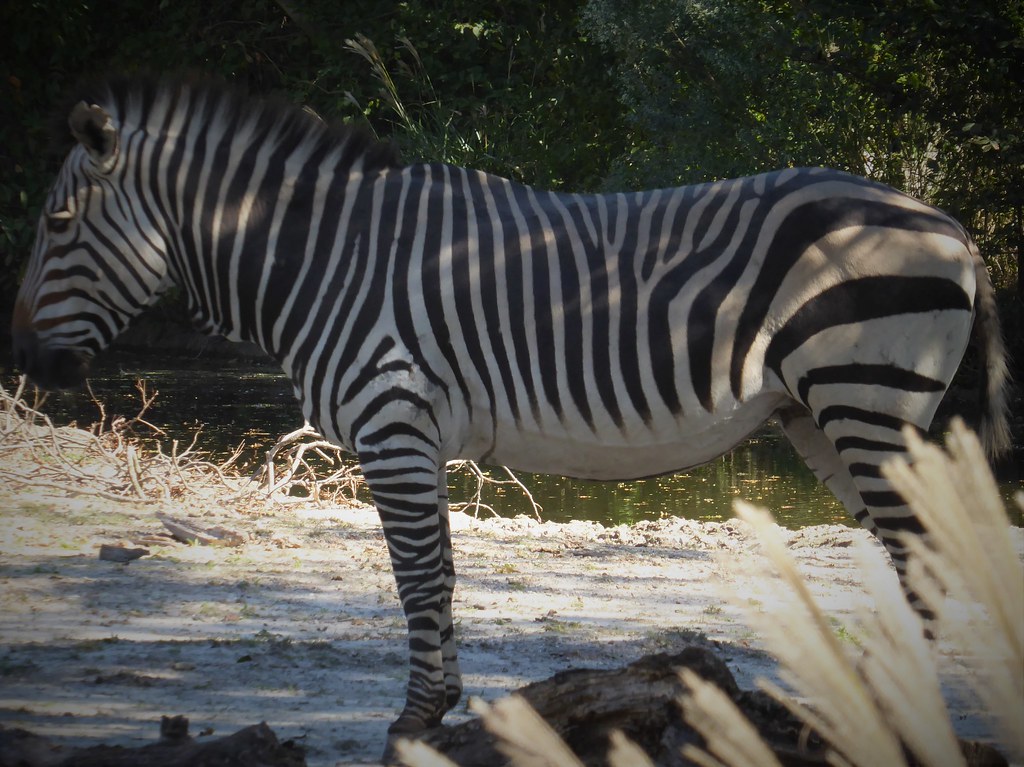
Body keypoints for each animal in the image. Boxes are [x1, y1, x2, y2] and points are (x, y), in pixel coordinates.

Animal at [12, 76, 1010, 738]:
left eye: (56, 226)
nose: (22, 365)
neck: (327, 260)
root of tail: (951, 224)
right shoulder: (415, 437)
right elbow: (441, 571)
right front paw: (441, 708)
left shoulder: (393, 420)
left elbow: (419, 575)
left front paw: (416, 719)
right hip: (825, 417)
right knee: (916, 554)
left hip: (867, 399)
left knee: (920, 557)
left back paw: (891, 710)